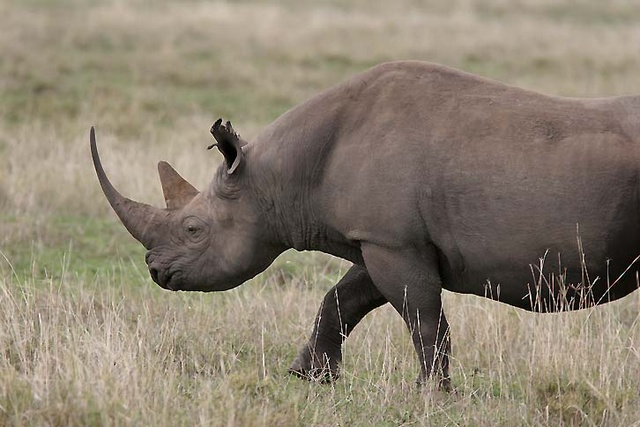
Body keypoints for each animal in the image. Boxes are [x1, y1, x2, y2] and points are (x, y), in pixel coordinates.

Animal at [91, 61, 640, 390]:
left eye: (193, 230)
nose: (155, 271)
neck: (275, 178)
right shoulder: (384, 239)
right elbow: (342, 299)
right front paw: (309, 377)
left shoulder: (393, 242)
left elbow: (422, 317)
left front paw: (433, 396)